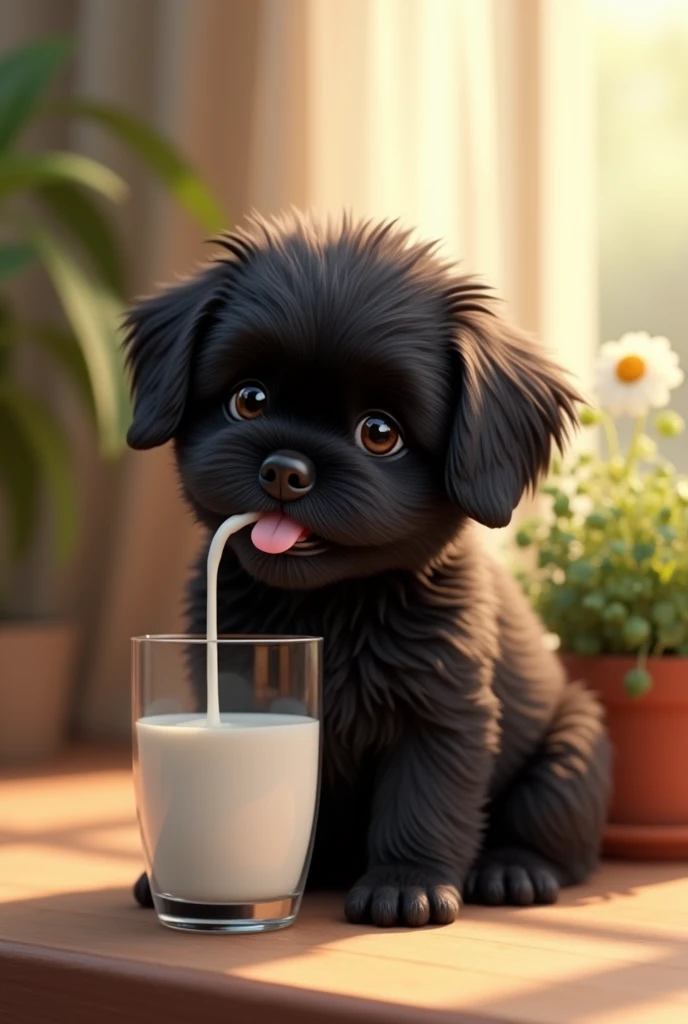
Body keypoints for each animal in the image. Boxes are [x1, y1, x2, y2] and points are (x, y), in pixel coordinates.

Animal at [126, 214, 610, 929]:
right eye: (250, 399)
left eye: (380, 433)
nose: (285, 469)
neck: (327, 606)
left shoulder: (443, 715)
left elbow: (423, 802)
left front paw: (406, 884)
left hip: (573, 749)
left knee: (558, 838)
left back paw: (513, 869)